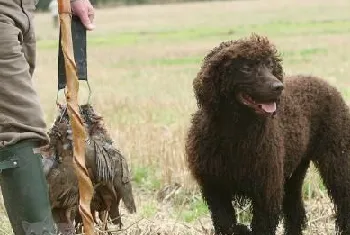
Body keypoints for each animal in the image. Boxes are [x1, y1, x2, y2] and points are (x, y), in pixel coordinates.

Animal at [185, 34, 348, 234]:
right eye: (246, 67)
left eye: (270, 64)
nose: (279, 87)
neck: (235, 132)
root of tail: (327, 85)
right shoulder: (215, 188)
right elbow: (226, 223)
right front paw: (241, 229)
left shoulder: (267, 193)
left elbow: (261, 226)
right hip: (293, 172)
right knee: (295, 211)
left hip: (337, 160)